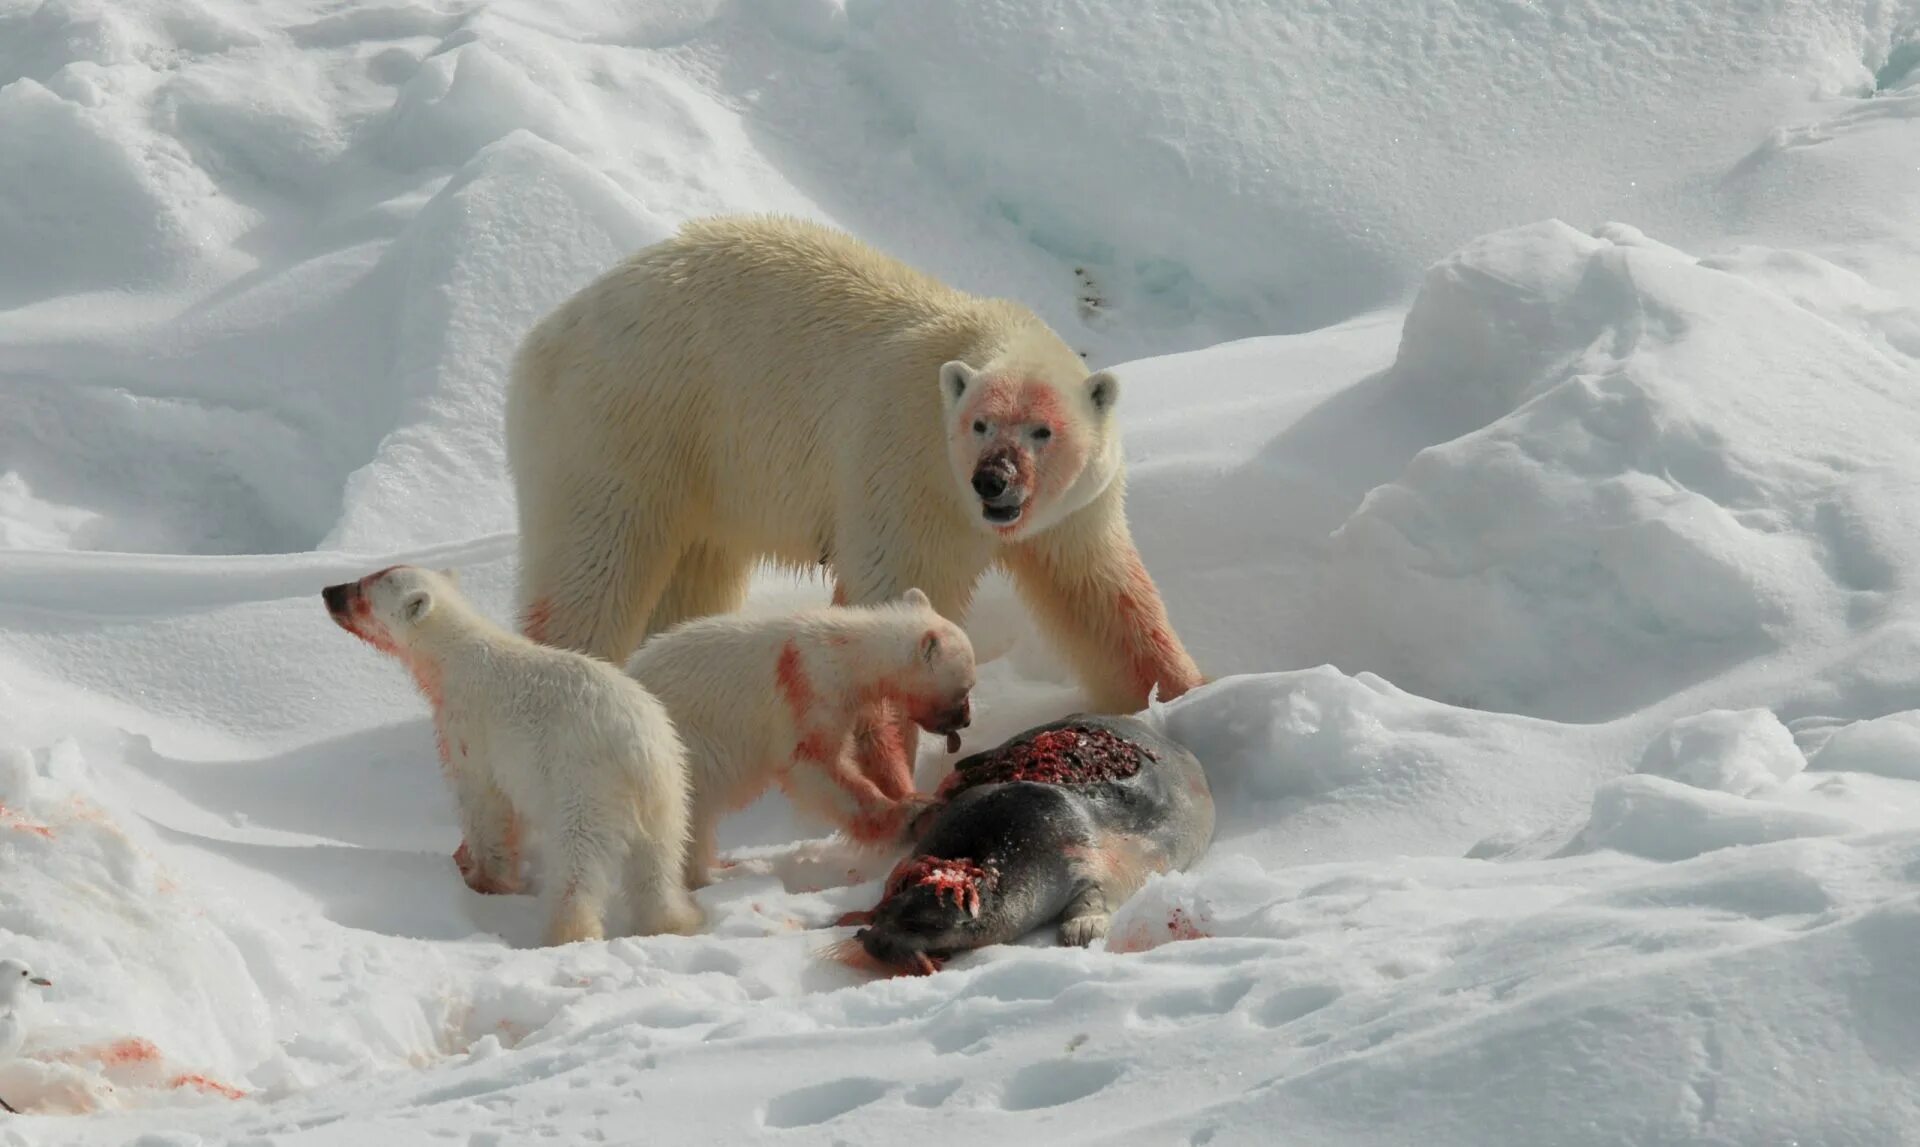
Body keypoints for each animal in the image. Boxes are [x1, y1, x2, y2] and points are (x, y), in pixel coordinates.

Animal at [322, 564, 706, 949]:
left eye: (361, 591)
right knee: (657, 865)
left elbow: (484, 803)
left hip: (586, 787)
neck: (453, 657)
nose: (328, 592)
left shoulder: (471, 728)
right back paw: (674, 922)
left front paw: (480, 877)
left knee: (577, 863)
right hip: (671, 795)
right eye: (365, 578)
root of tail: (640, 752)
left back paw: (565, 932)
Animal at [503, 210, 1205, 791]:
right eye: (979, 425)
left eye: (1042, 430)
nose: (994, 481)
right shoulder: (906, 472)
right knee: (594, 569)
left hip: (704, 475)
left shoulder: (1073, 513)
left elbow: (1103, 596)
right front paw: (889, 764)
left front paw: (1187, 691)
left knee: (694, 579)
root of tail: (544, 336)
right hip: (627, 421)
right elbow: (890, 599)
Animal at [625, 591, 975, 883]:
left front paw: (913, 794)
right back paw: (705, 877)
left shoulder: (856, 704)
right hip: (678, 750)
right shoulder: (808, 693)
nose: (967, 720)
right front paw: (905, 816)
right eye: (965, 688)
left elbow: (876, 743)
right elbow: (818, 769)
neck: (844, 651)